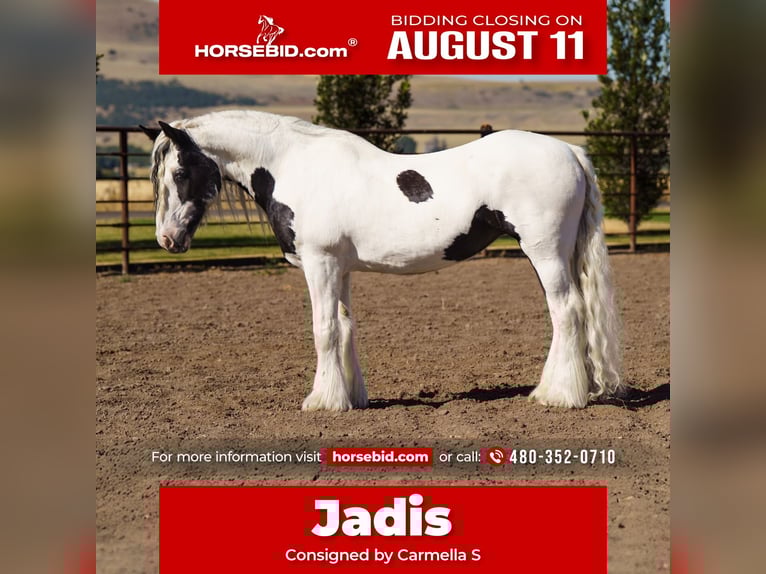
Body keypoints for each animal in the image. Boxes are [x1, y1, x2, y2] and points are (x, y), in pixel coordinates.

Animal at [140, 110, 622, 411]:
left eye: (179, 172)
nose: (167, 239)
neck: (295, 166)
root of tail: (571, 152)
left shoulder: (320, 264)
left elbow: (324, 330)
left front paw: (321, 401)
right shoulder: (339, 269)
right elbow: (345, 327)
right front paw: (349, 397)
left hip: (544, 252)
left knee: (566, 312)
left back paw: (560, 395)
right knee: (570, 313)